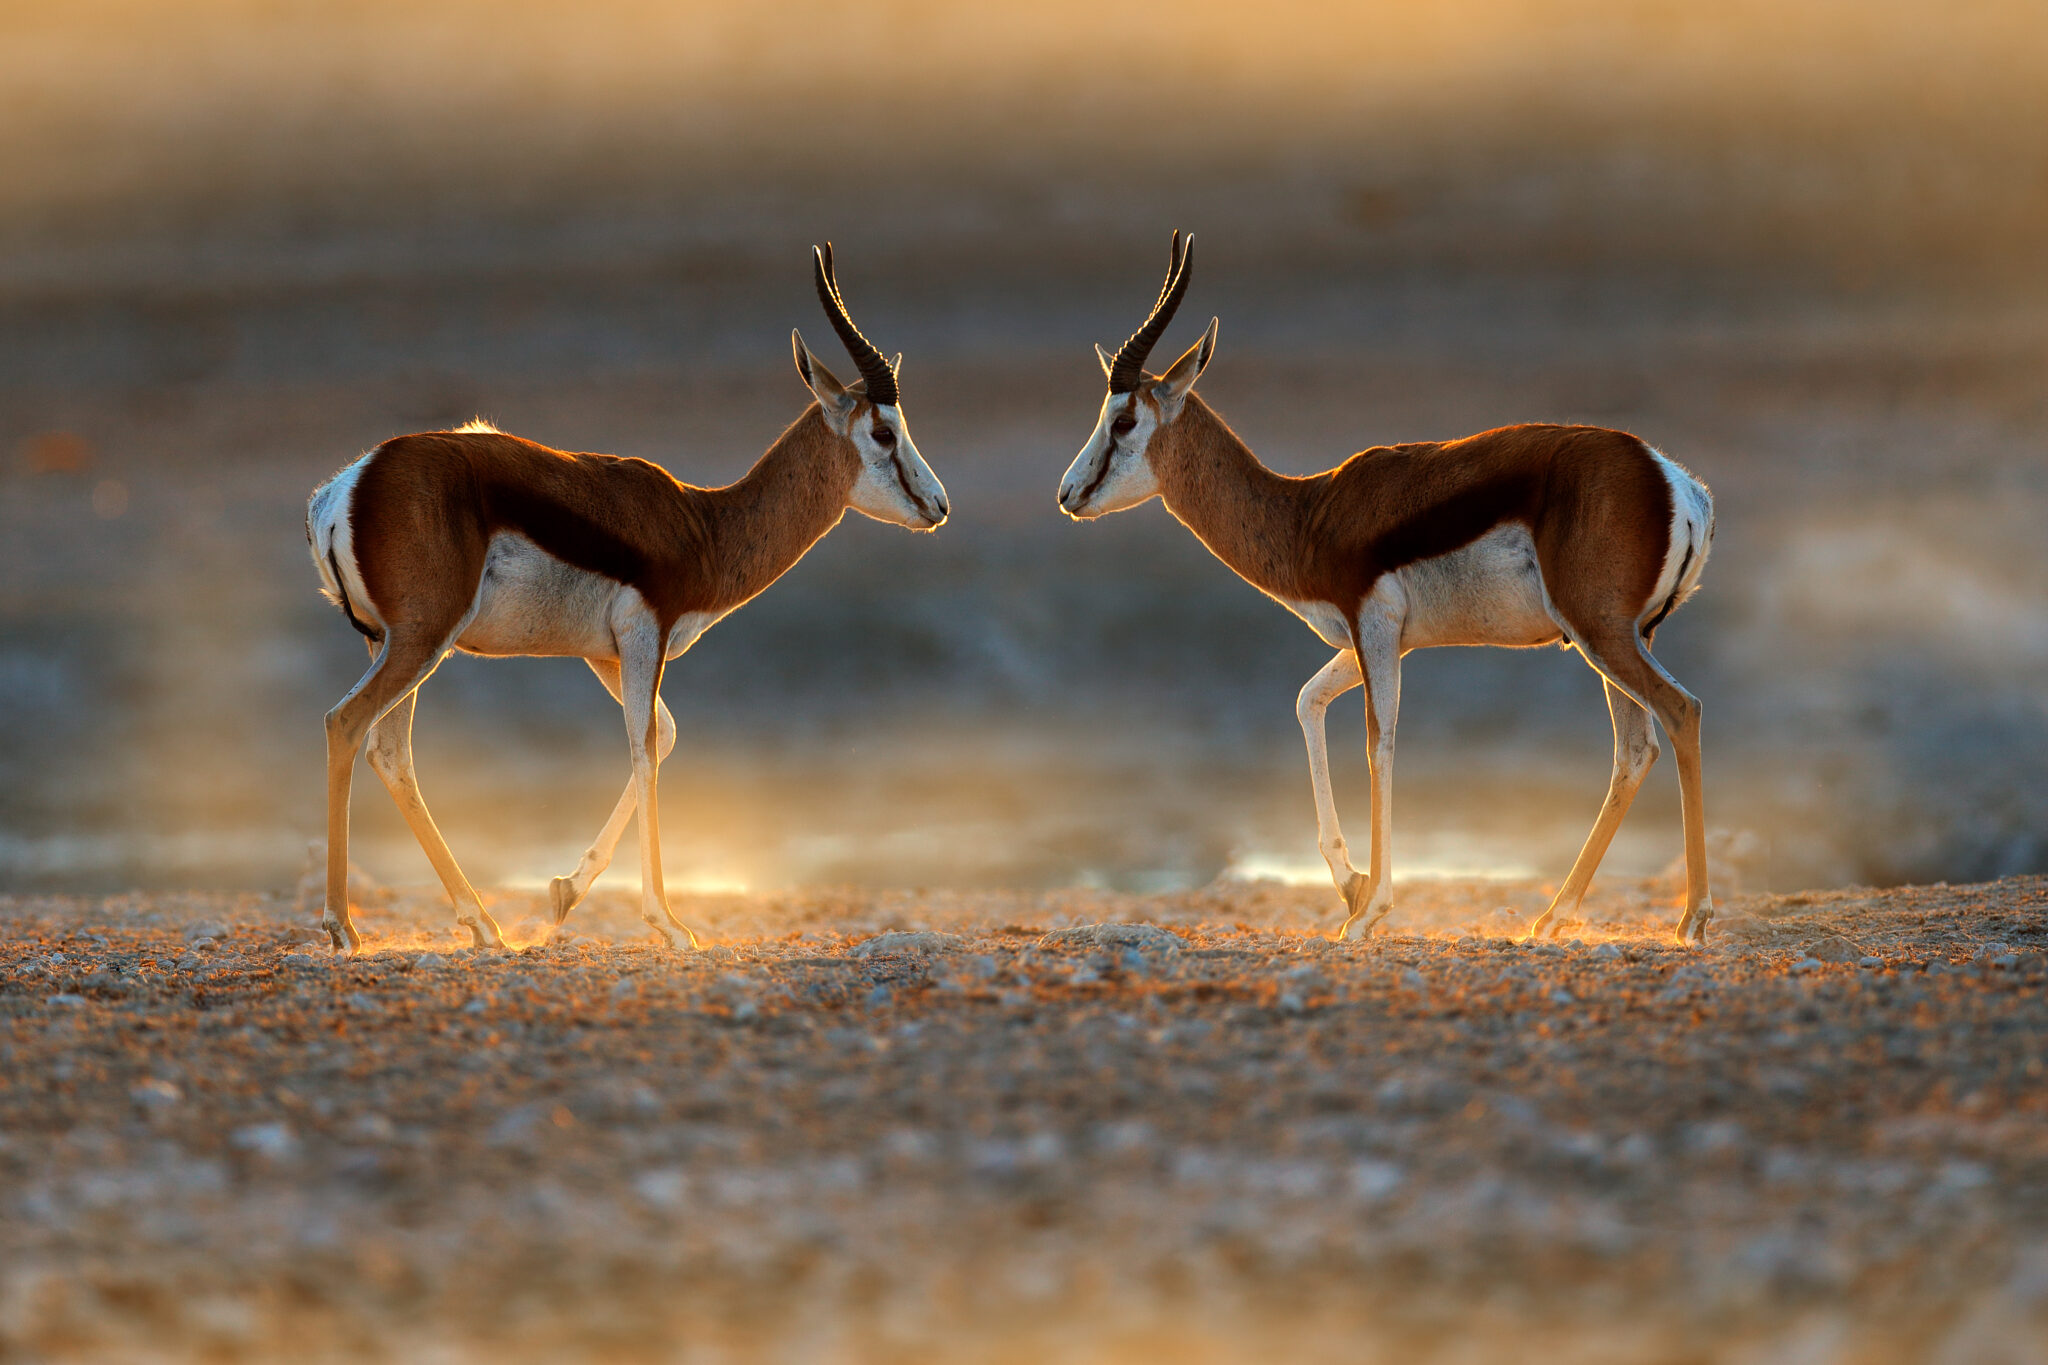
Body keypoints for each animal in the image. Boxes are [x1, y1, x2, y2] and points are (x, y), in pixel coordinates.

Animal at [306, 247, 946, 954]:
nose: (939, 505)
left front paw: (563, 892)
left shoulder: (603, 652)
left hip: (395, 642)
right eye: (884, 432)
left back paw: (483, 925)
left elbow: (662, 736)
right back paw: (343, 926)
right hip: (422, 640)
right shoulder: (647, 633)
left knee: (391, 752)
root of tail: (347, 487)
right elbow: (644, 750)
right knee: (345, 722)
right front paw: (669, 923)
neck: (703, 524)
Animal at [1057, 233, 1716, 943]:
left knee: (1681, 712)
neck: (1308, 513)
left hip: (1601, 635)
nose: (1068, 494)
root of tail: (1675, 482)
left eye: (1124, 420)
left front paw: (1368, 910)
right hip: (1618, 638)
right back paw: (1552, 917)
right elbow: (1307, 703)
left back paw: (1692, 917)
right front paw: (1352, 888)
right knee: (1635, 749)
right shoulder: (1376, 642)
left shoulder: (1372, 629)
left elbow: (1380, 744)